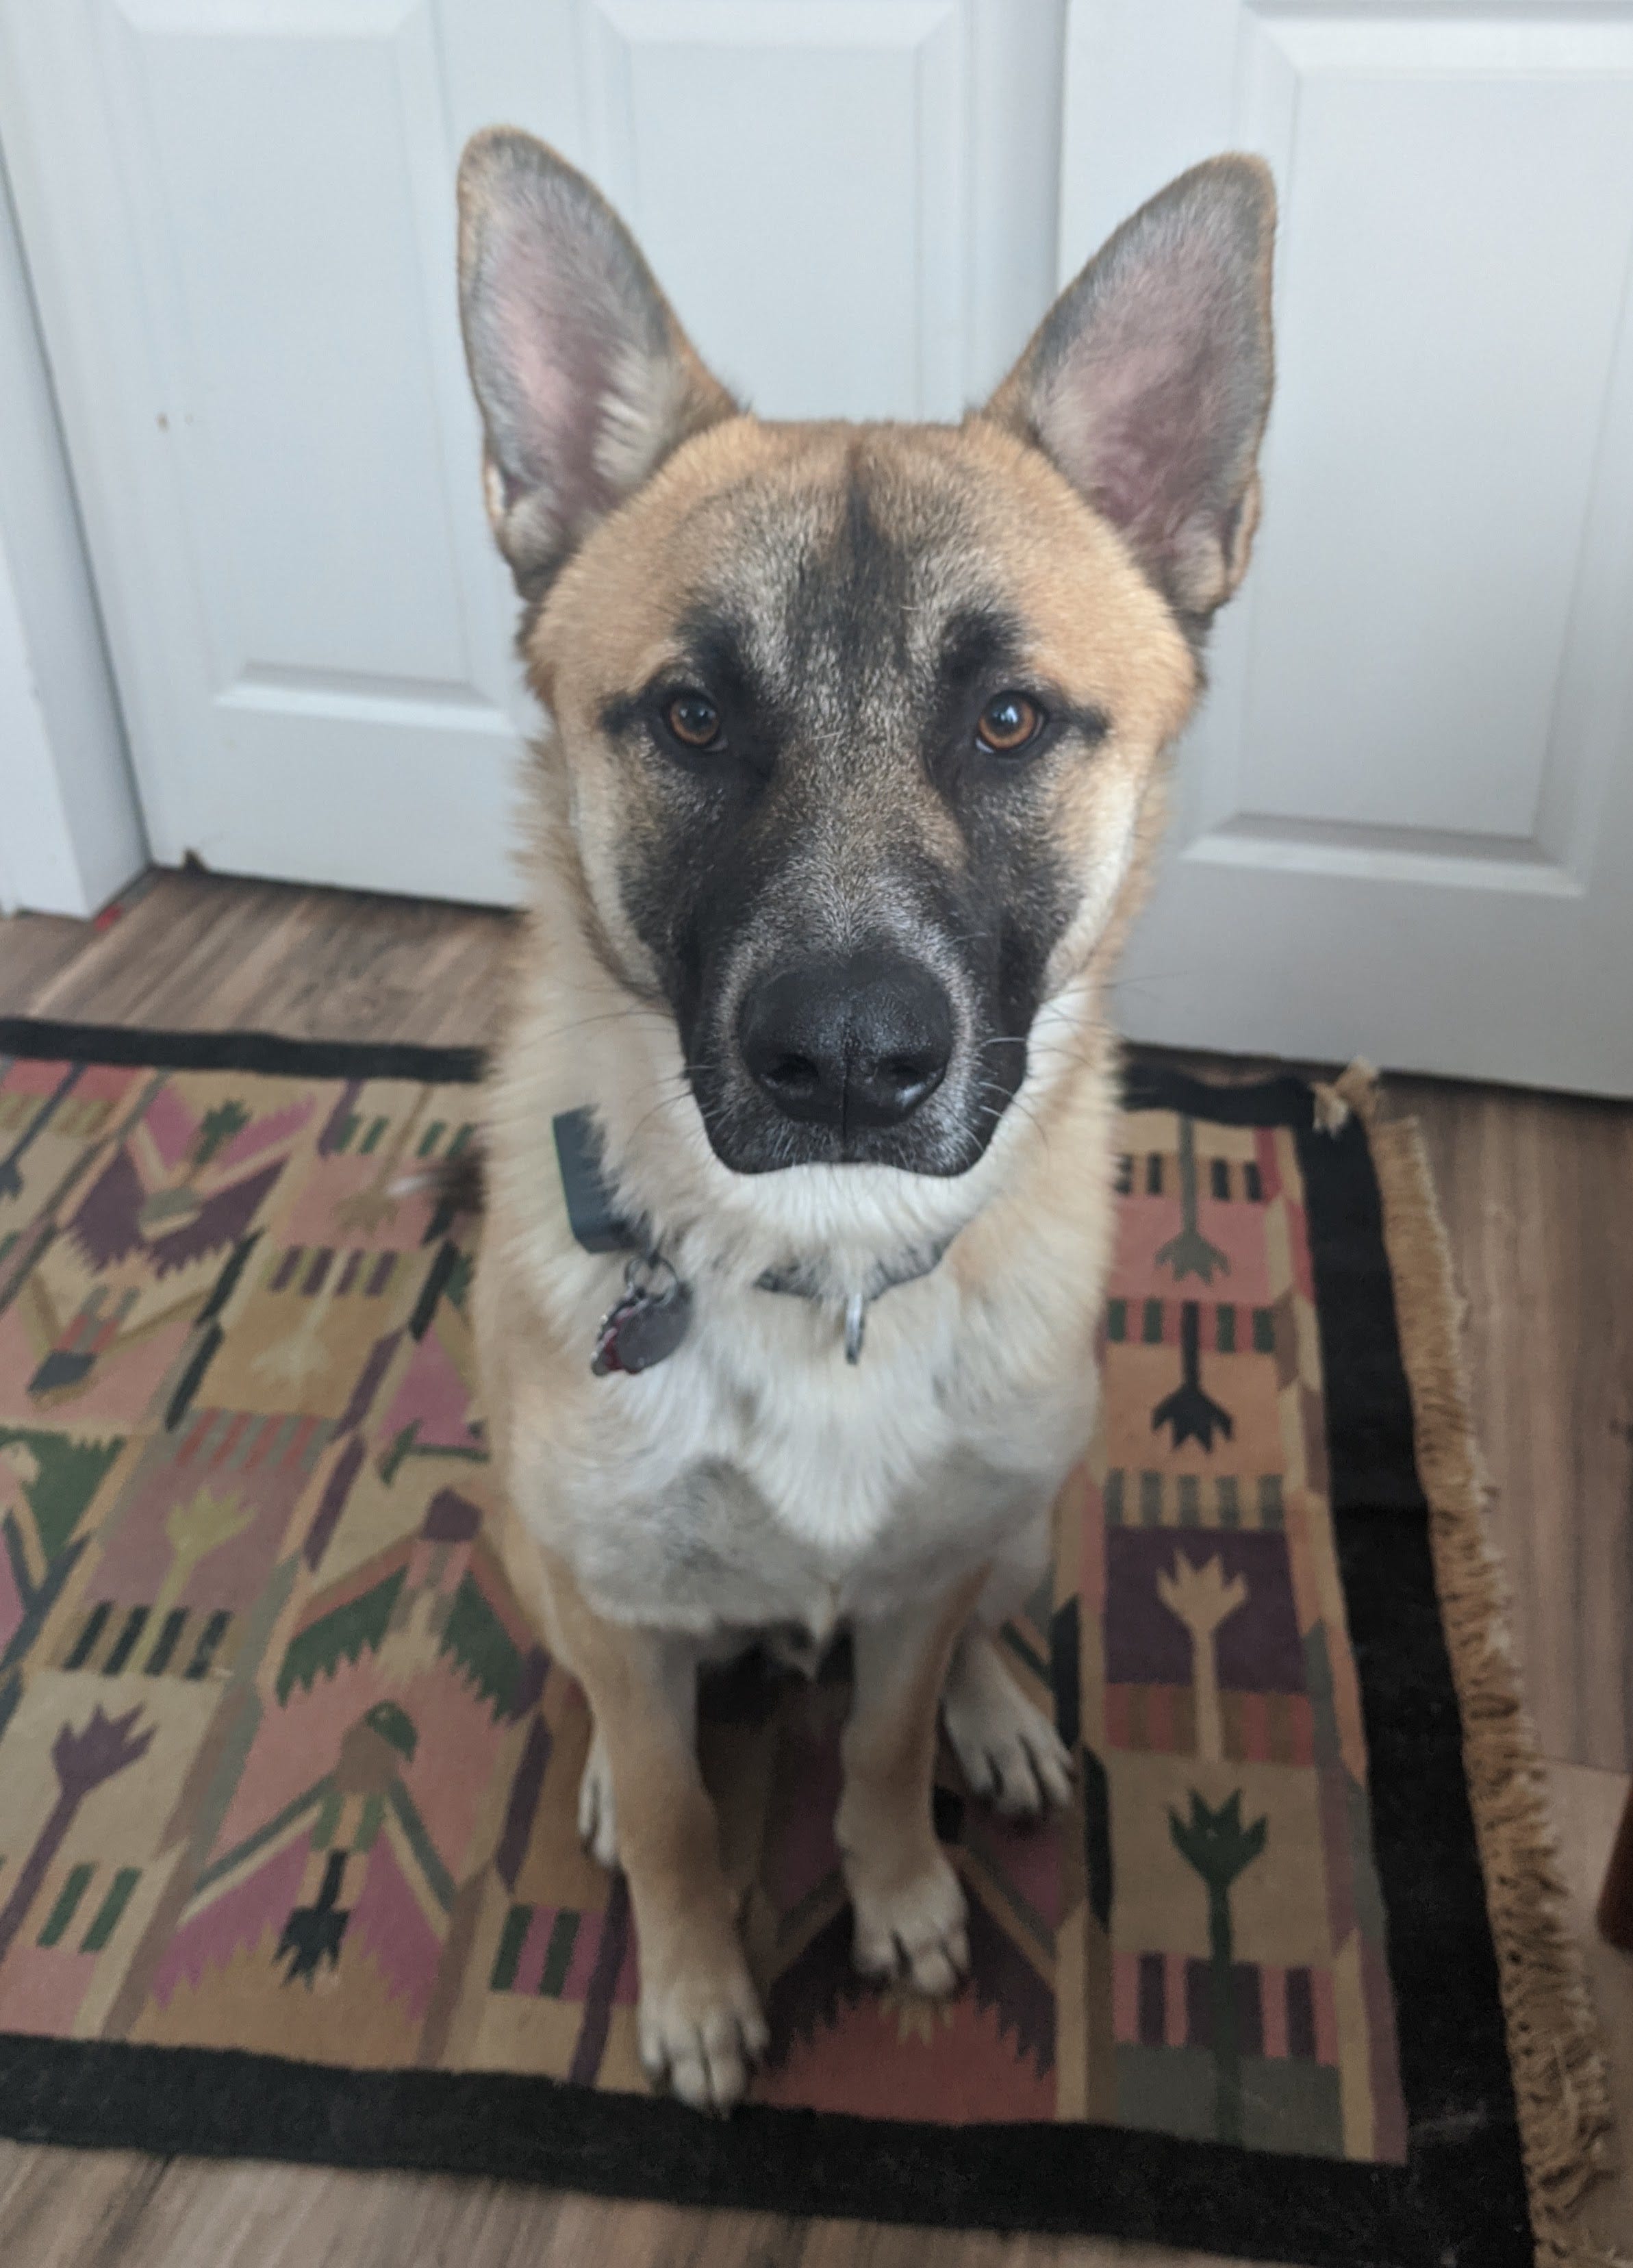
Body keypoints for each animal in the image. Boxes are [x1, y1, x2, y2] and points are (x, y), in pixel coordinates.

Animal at [455, 127, 1274, 2112]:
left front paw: (899, 1891)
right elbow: (682, 1808)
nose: (840, 1060)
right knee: (617, 1703)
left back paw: (1002, 1721)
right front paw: (691, 1984)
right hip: (532, 1543)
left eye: (1009, 719)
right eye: (689, 717)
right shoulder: (617, 1594)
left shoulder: (917, 1582)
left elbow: (887, 1743)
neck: (818, 1268)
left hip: (1030, 1510)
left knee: (974, 1615)